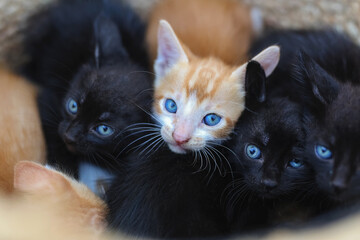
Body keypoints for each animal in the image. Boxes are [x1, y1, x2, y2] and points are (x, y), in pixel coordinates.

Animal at [22, 0, 152, 176]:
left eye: (104, 129)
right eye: (73, 106)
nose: (69, 136)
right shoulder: (49, 99)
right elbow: (54, 135)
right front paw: (64, 169)